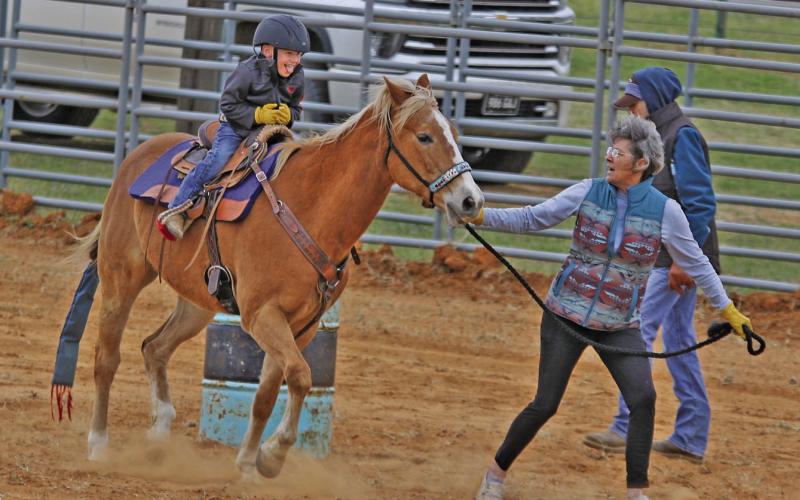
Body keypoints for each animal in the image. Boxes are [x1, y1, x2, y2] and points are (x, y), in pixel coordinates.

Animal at [72, 74, 484, 478]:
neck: (312, 208)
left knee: (154, 347)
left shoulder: (303, 324)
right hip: (120, 277)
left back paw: (158, 436)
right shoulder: (262, 315)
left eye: (454, 134)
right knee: (106, 358)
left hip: (198, 303)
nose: (471, 201)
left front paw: (248, 463)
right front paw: (272, 455)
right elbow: (300, 376)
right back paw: (98, 444)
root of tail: (136, 158)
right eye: (424, 136)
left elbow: (267, 394)